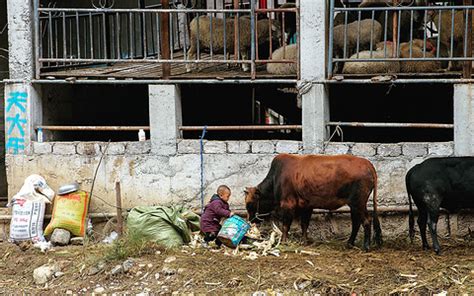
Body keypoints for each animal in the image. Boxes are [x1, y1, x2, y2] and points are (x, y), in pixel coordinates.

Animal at [244, 154, 382, 251]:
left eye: (249, 204)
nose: (250, 221)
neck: (275, 179)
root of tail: (367, 163)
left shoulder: (288, 205)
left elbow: (286, 225)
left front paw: (283, 241)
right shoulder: (307, 206)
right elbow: (304, 224)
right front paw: (304, 241)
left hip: (358, 203)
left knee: (366, 221)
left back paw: (366, 246)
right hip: (354, 205)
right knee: (356, 223)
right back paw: (349, 243)